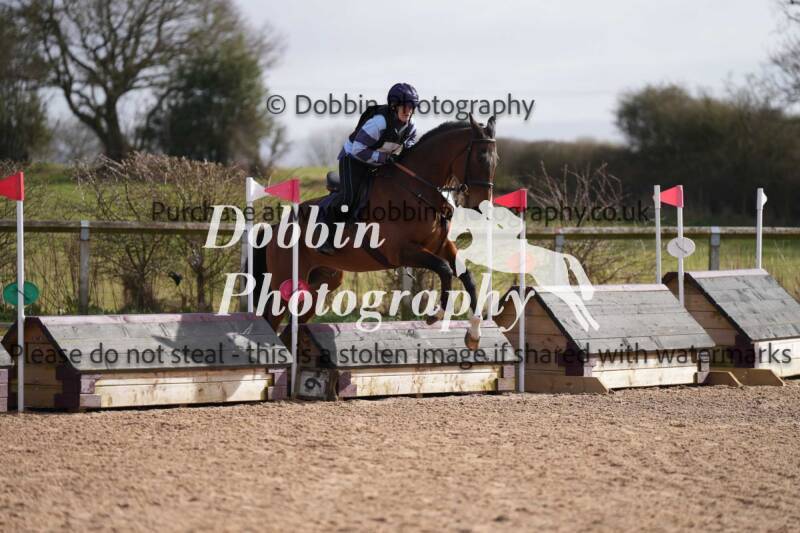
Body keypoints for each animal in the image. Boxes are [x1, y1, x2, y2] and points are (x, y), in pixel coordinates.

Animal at [253, 114, 499, 349]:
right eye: (479, 158)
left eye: (495, 161)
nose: (482, 205)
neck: (418, 190)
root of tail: (277, 227)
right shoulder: (402, 252)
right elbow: (445, 269)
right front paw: (436, 313)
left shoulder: (441, 246)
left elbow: (467, 277)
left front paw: (474, 334)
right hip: (285, 283)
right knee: (271, 318)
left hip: (321, 284)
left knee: (291, 327)